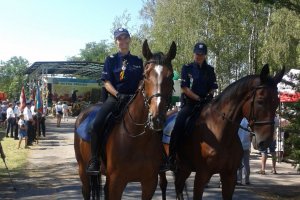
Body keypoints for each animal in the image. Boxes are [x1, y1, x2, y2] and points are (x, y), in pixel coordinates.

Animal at [74, 39, 176, 199]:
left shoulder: (149, 182)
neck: (137, 137)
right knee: (86, 190)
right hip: (82, 169)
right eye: (145, 75)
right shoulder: (117, 182)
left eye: (171, 76)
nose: (156, 118)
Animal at [158, 64, 284, 200]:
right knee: (164, 184)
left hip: (183, 168)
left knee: (178, 186)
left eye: (277, 102)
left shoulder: (229, 176)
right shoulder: (201, 176)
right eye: (260, 101)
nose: (266, 141)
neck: (220, 134)